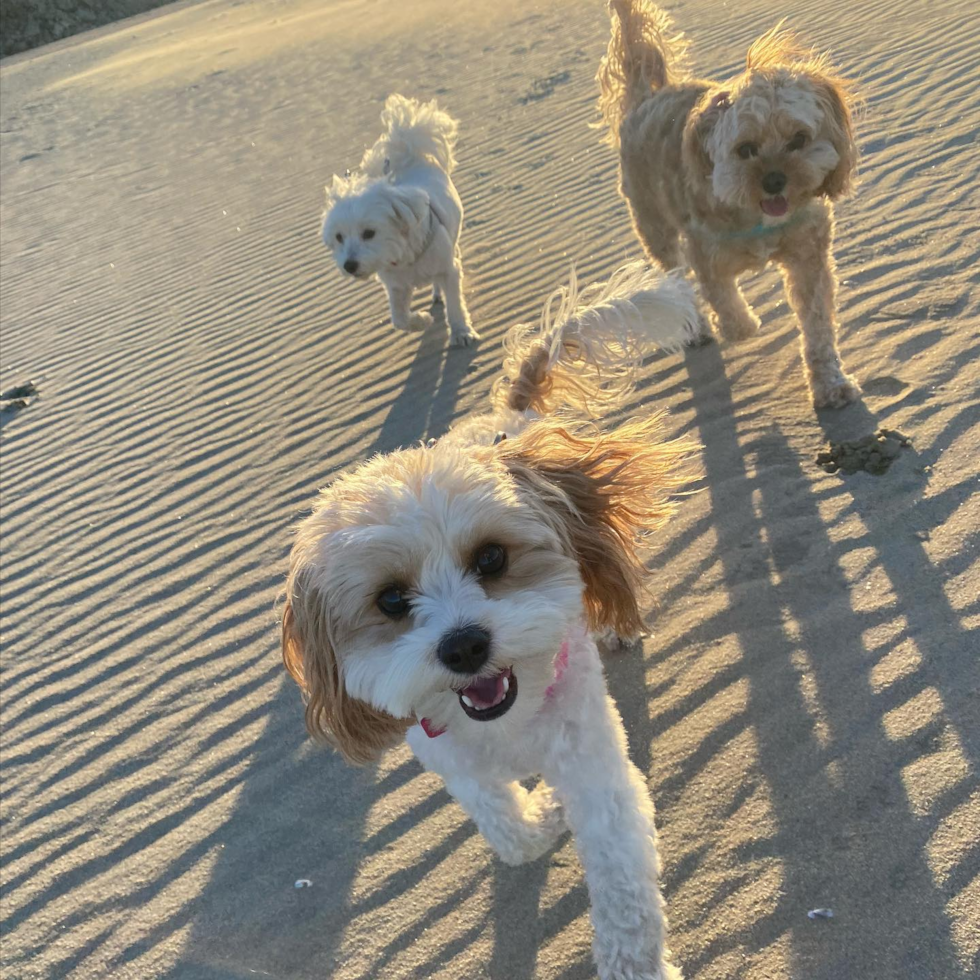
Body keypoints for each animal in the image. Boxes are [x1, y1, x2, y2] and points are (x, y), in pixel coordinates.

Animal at [280, 260, 700, 980]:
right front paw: (542, 816)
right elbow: (508, 828)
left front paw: (633, 963)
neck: (510, 723)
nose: (464, 647)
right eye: (391, 600)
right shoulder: (453, 763)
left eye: (492, 558)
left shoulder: (595, 768)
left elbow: (623, 889)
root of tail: (508, 420)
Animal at [322, 92, 478, 344]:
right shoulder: (396, 287)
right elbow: (399, 320)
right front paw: (421, 320)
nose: (349, 265)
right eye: (339, 237)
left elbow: (455, 304)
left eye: (369, 233)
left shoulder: (449, 270)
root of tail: (408, 152)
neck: (404, 257)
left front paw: (461, 332)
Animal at [596, 0, 856, 410]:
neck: (758, 217)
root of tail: (647, 97)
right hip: (654, 224)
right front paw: (740, 325)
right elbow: (723, 300)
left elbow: (817, 326)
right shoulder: (704, 251)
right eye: (744, 149)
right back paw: (698, 328)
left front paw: (829, 382)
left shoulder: (808, 257)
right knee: (675, 277)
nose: (774, 180)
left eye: (799, 139)